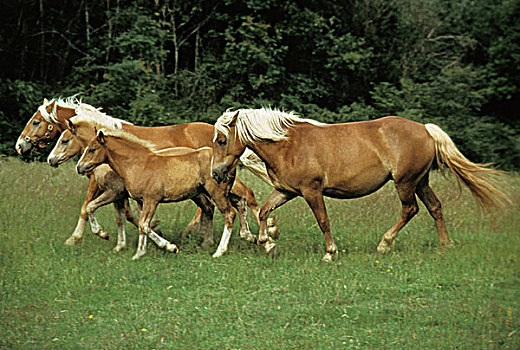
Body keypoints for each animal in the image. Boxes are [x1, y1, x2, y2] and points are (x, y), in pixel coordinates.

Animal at [76, 129, 239, 260]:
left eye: (92, 149)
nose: (79, 167)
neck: (139, 164)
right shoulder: (141, 201)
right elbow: (141, 225)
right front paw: (138, 254)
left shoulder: (151, 200)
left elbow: (144, 225)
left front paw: (170, 247)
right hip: (202, 193)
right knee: (211, 209)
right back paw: (208, 243)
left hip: (216, 192)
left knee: (229, 214)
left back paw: (219, 251)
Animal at [211, 108, 512, 262]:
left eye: (222, 140)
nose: (216, 173)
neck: (288, 144)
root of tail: (425, 129)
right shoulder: (286, 191)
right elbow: (264, 212)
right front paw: (267, 243)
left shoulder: (311, 191)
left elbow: (323, 221)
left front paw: (329, 253)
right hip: (421, 181)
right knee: (435, 207)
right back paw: (445, 245)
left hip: (405, 182)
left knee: (410, 210)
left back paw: (384, 244)